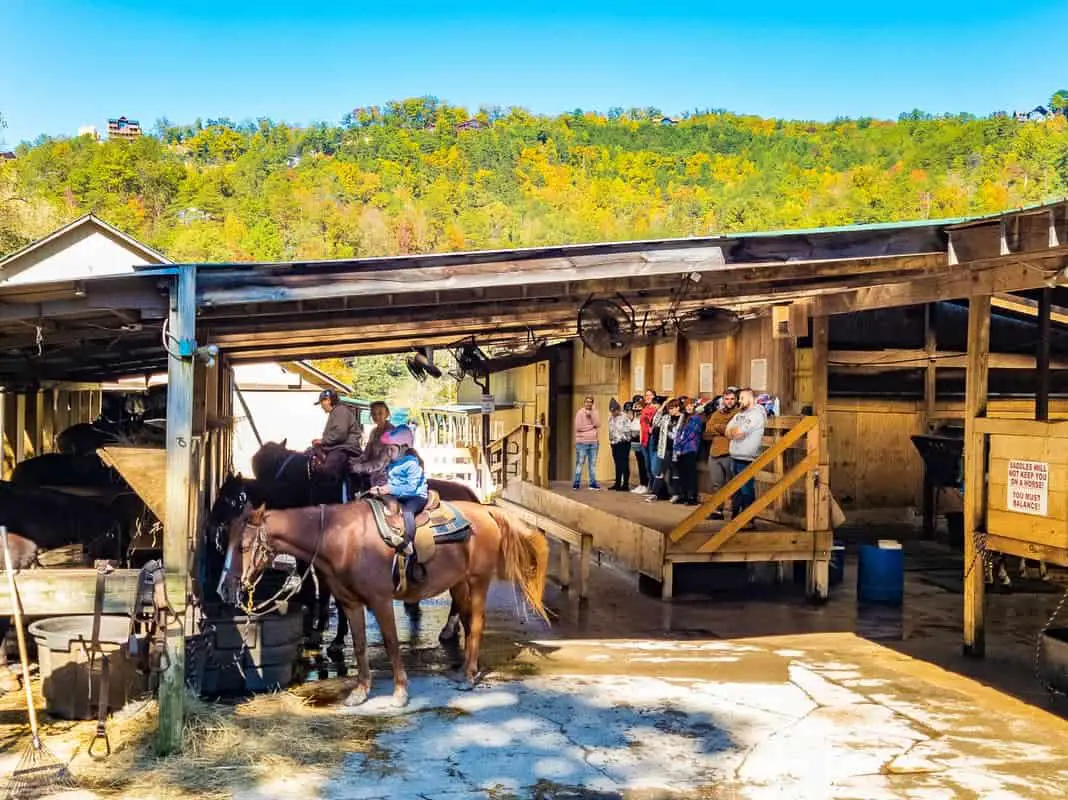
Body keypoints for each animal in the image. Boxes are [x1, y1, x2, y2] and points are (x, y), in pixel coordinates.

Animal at [217, 499, 551, 704]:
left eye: (244, 546)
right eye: (225, 542)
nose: (224, 589)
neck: (341, 538)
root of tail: (487, 511)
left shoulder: (380, 600)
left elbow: (390, 642)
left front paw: (400, 692)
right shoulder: (350, 603)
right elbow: (360, 644)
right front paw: (360, 692)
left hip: (478, 580)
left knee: (478, 624)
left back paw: (469, 676)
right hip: (459, 583)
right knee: (469, 623)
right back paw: (465, 669)